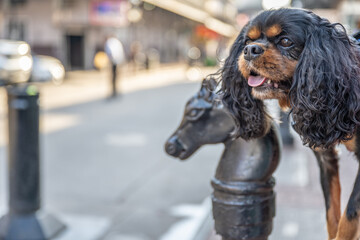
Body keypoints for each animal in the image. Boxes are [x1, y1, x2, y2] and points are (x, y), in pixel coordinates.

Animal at [218, 7, 360, 240]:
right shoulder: (326, 158)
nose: (250, 50)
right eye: (248, 40)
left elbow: (348, 218)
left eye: (285, 41)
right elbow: (332, 215)